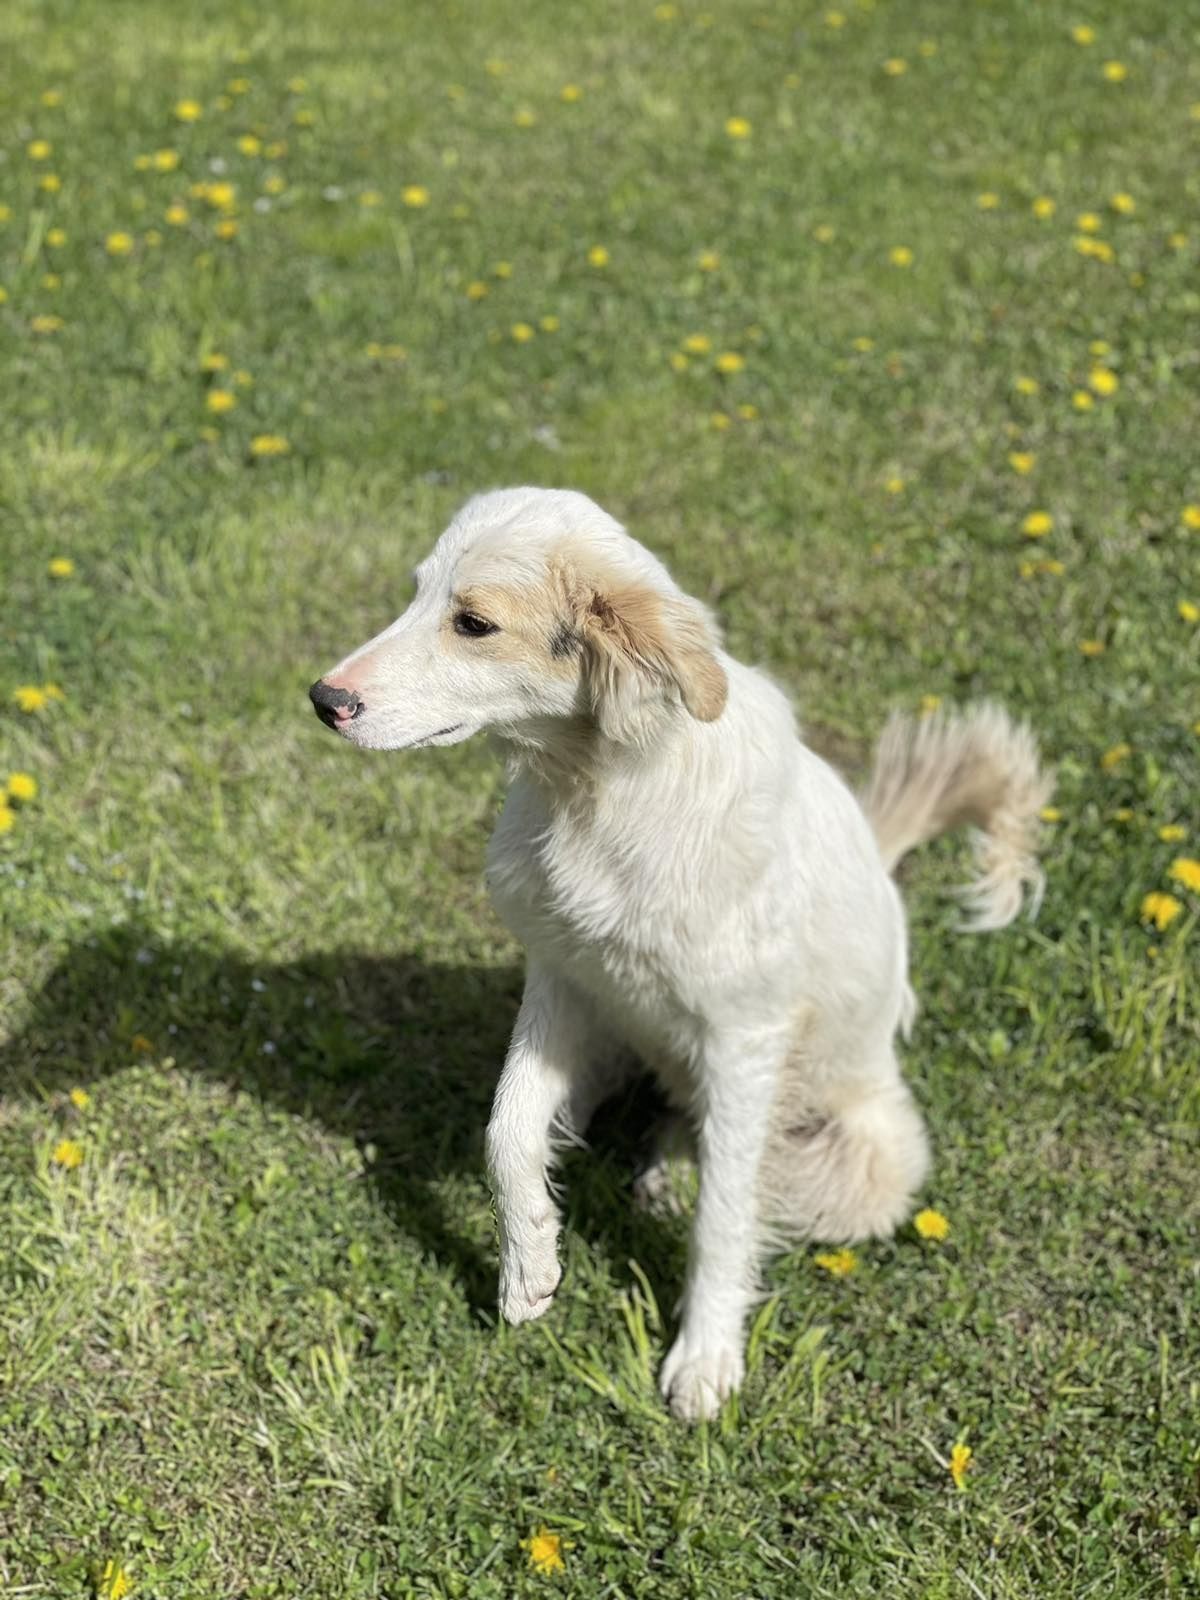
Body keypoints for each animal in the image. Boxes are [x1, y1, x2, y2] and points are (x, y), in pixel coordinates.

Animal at [312, 486, 1049, 1427]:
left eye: (473, 622)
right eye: (414, 594)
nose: (323, 698)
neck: (598, 793)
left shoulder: (744, 1038)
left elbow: (725, 1215)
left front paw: (705, 1355)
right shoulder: (565, 981)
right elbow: (507, 1128)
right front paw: (529, 1264)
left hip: (861, 1160)